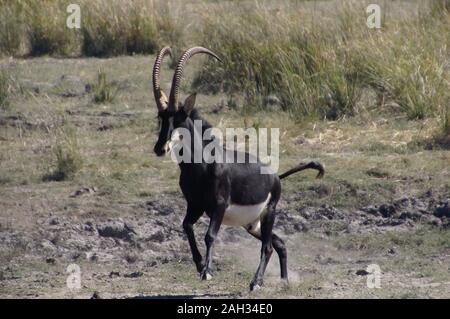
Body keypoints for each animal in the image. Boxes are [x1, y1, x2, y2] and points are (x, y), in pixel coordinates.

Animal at [151, 46, 324, 292]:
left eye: (180, 117)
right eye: (161, 116)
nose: (160, 148)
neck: (201, 166)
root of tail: (275, 177)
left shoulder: (219, 205)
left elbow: (210, 235)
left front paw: (207, 272)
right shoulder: (195, 205)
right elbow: (186, 226)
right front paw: (199, 265)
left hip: (269, 212)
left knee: (268, 247)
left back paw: (256, 283)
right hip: (252, 224)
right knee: (279, 243)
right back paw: (284, 281)